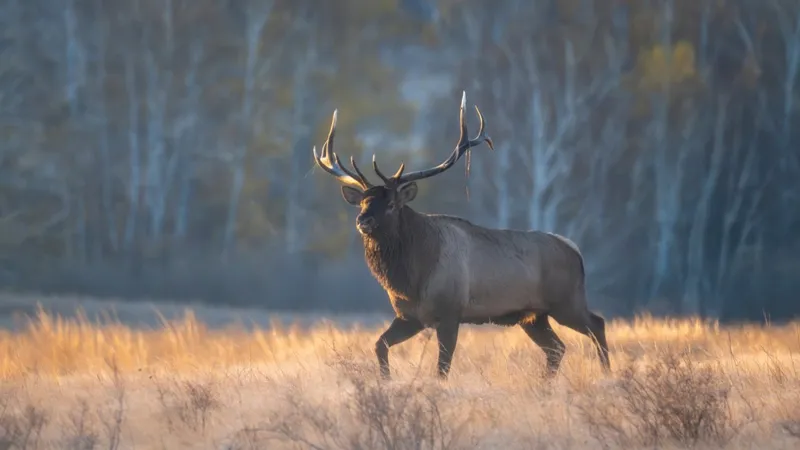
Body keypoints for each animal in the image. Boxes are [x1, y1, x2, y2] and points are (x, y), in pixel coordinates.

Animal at [312, 92, 611, 381]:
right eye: (363, 202)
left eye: (392, 204)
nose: (364, 221)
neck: (412, 277)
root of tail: (575, 250)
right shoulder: (410, 316)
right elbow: (379, 345)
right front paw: (386, 381)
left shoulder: (450, 312)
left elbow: (442, 368)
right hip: (533, 316)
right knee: (557, 348)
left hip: (567, 301)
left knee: (597, 324)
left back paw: (606, 374)